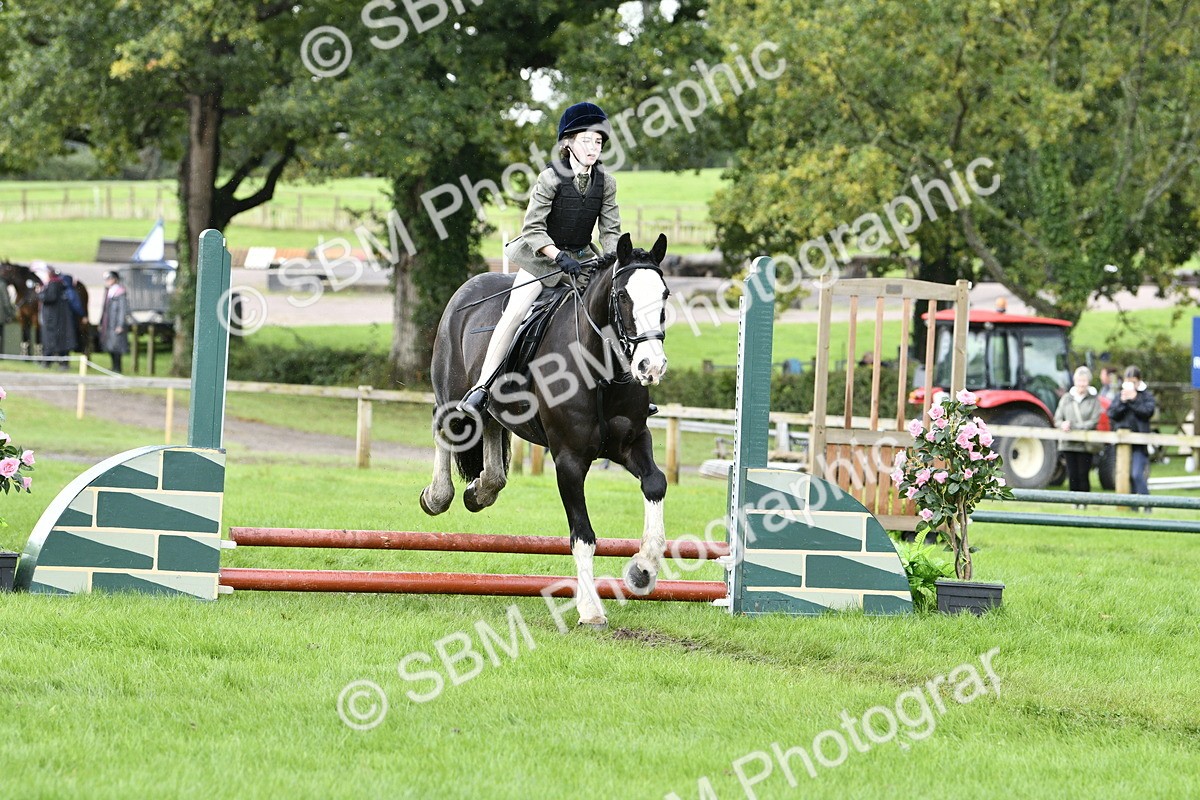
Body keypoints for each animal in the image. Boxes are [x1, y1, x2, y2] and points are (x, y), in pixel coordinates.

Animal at [421, 233, 672, 628]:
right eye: (622, 296)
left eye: (664, 295)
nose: (651, 366)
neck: (599, 370)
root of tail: (468, 286)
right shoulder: (568, 459)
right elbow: (582, 534)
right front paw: (590, 610)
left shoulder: (632, 443)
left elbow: (655, 483)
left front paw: (643, 569)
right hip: (451, 396)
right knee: (446, 427)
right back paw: (437, 496)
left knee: (491, 427)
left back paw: (482, 490)